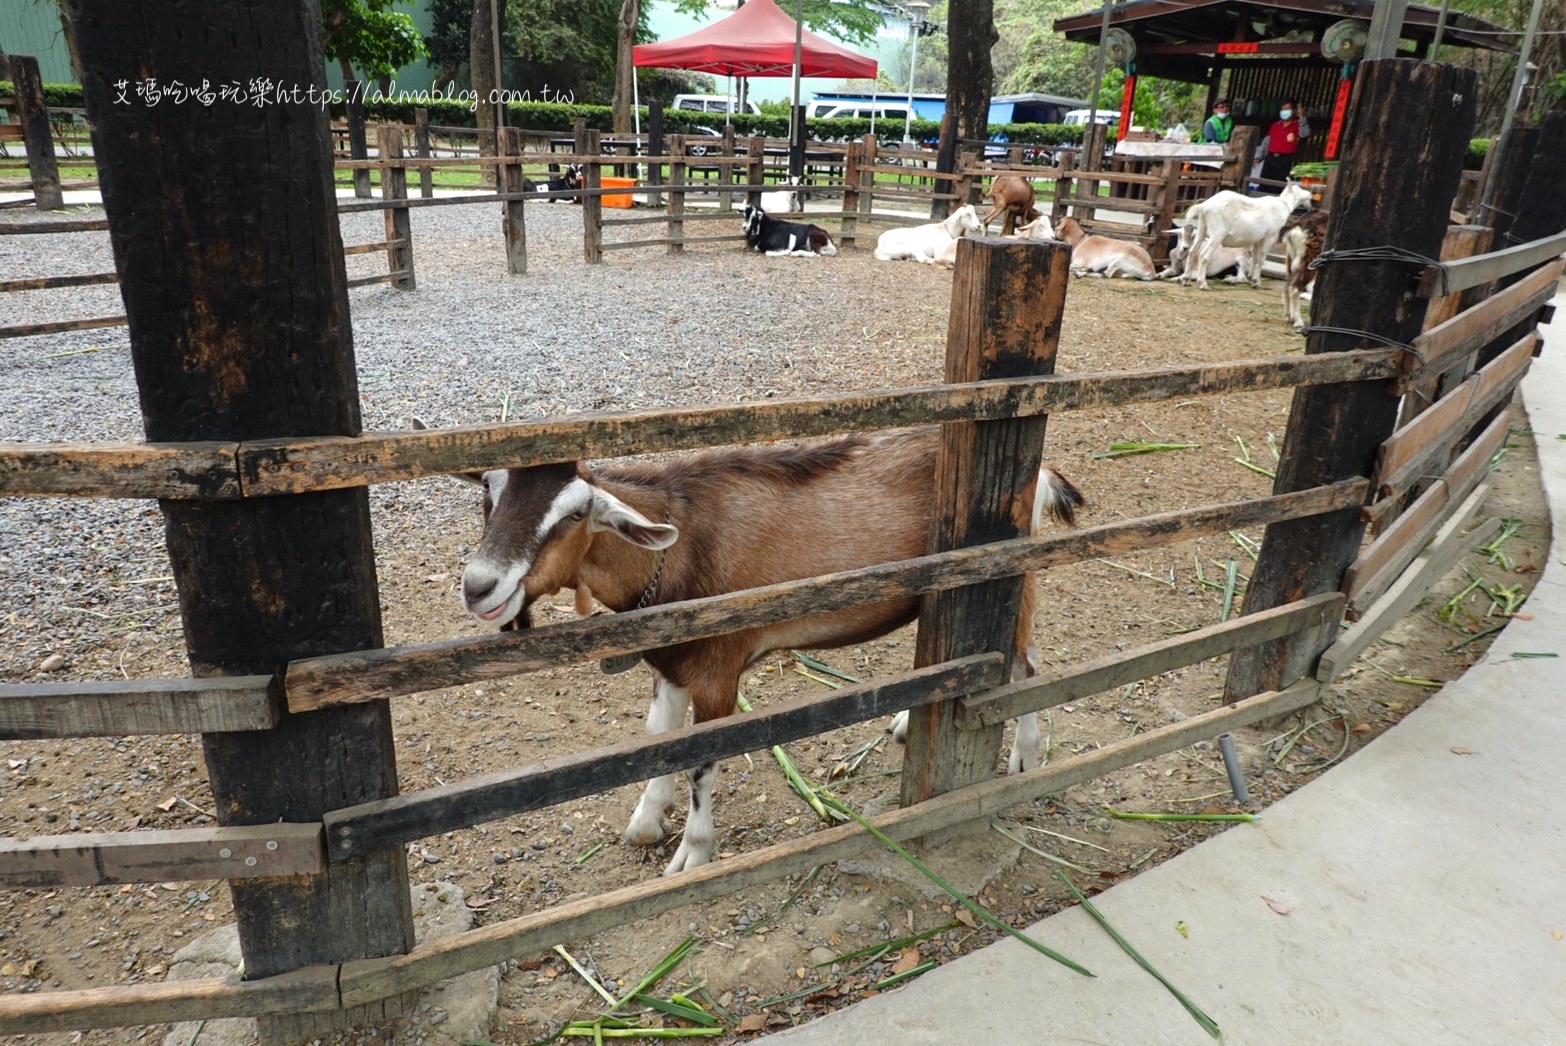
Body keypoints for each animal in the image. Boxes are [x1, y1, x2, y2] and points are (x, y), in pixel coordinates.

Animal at [457, 425, 1083, 876]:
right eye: (487, 495)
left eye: (573, 514)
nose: (479, 587)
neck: (680, 550)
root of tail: (1041, 473)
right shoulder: (670, 667)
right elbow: (659, 739)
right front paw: (645, 822)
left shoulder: (717, 672)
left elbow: (701, 762)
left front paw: (693, 854)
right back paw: (910, 722)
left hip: (1014, 580)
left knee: (1026, 663)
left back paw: (1025, 757)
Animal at [1177, 181, 1315, 289]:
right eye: (1298, 188)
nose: (1311, 194)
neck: (1283, 205)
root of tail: (1204, 206)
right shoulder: (1270, 236)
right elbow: (1262, 258)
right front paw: (1257, 282)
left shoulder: (1257, 239)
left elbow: (1255, 258)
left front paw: (1251, 278)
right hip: (1217, 233)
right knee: (1203, 255)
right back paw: (1203, 283)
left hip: (1202, 229)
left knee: (1192, 252)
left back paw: (1185, 280)